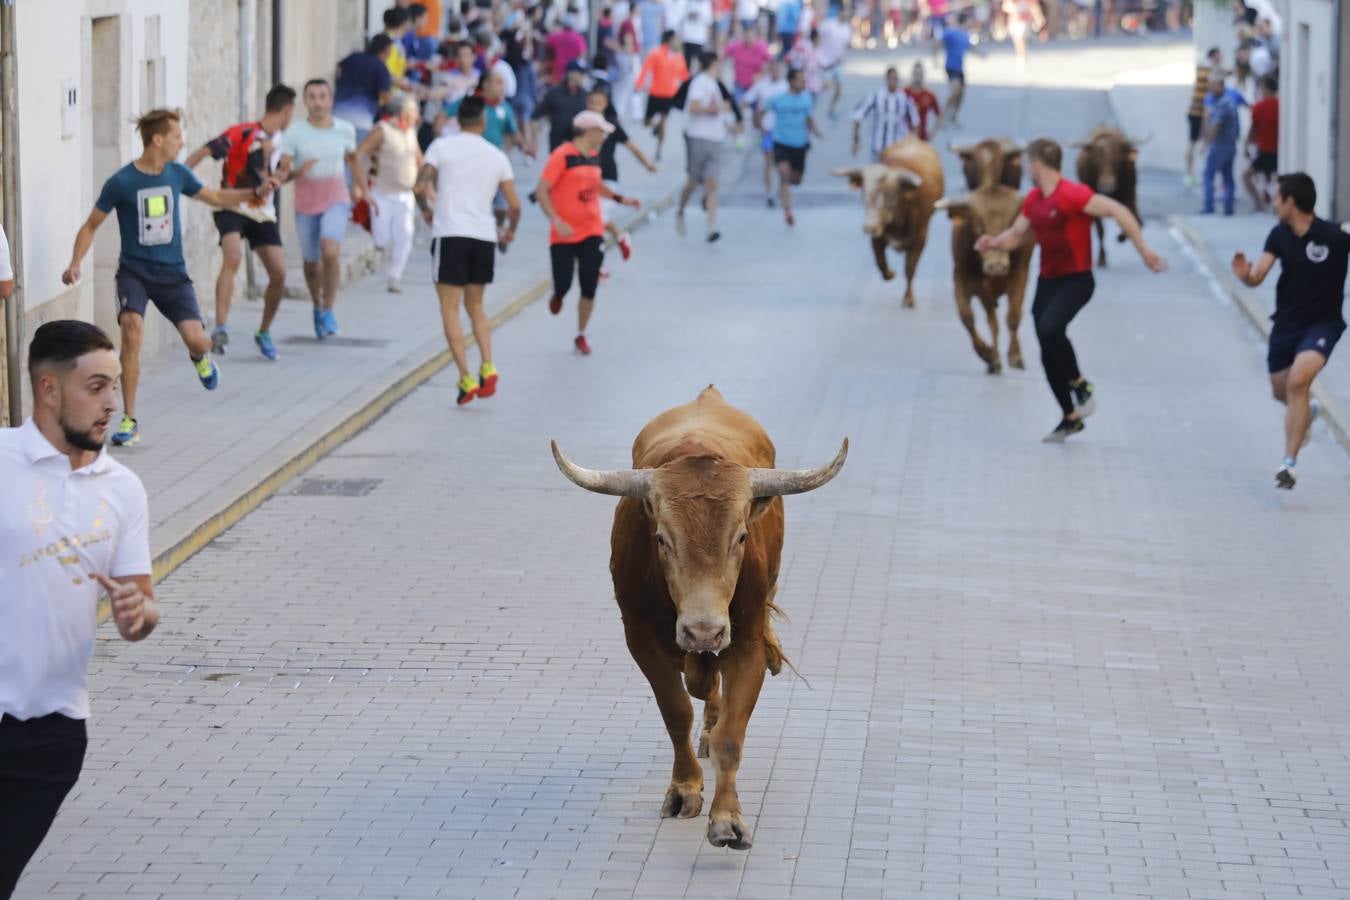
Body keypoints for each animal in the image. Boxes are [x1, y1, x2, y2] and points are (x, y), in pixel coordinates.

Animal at [548, 388, 842, 852]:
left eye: (741, 536)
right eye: (662, 539)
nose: (704, 629)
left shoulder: (746, 643)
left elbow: (730, 738)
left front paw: (727, 819)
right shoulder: (640, 640)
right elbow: (677, 711)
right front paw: (684, 789)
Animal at [831, 137, 939, 310]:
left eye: (891, 195)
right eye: (864, 193)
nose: (869, 227)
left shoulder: (921, 237)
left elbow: (910, 268)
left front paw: (909, 298)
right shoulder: (877, 236)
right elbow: (880, 262)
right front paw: (890, 274)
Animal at [939, 138, 1031, 372]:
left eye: (1011, 224)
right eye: (978, 225)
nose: (996, 266)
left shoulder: (1020, 274)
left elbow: (1013, 316)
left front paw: (1015, 356)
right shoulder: (961, 277)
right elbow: (967, 318)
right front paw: (987, 354)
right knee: (992, 321)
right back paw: (994, 360)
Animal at [1074, 126, 1150, 267]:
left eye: (1118, 161)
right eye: (1096, 161)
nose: (1107, 186)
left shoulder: (1129, 197)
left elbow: (1136, 221)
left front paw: (1121, 237)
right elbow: (1100, 230)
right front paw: (1101, 258)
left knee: (1139, 221)